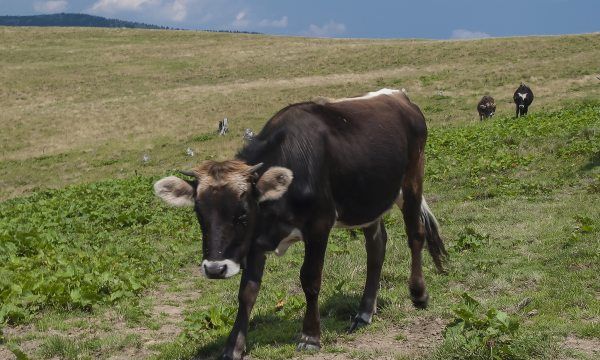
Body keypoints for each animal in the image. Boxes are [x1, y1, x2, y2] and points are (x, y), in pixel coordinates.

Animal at [154, 88, 446, 360]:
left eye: (242, 214)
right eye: (200, 215)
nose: (215, 269)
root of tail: (399, 97)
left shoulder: (319, 225)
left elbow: (310, 278)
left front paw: (310, 336)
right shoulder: (255, 241)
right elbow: (247, 292)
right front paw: (233, 346)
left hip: (412, 180)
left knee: (415, 234)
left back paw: (419, 293)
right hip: (369, 200)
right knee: (376, 248)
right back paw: (364, 312)